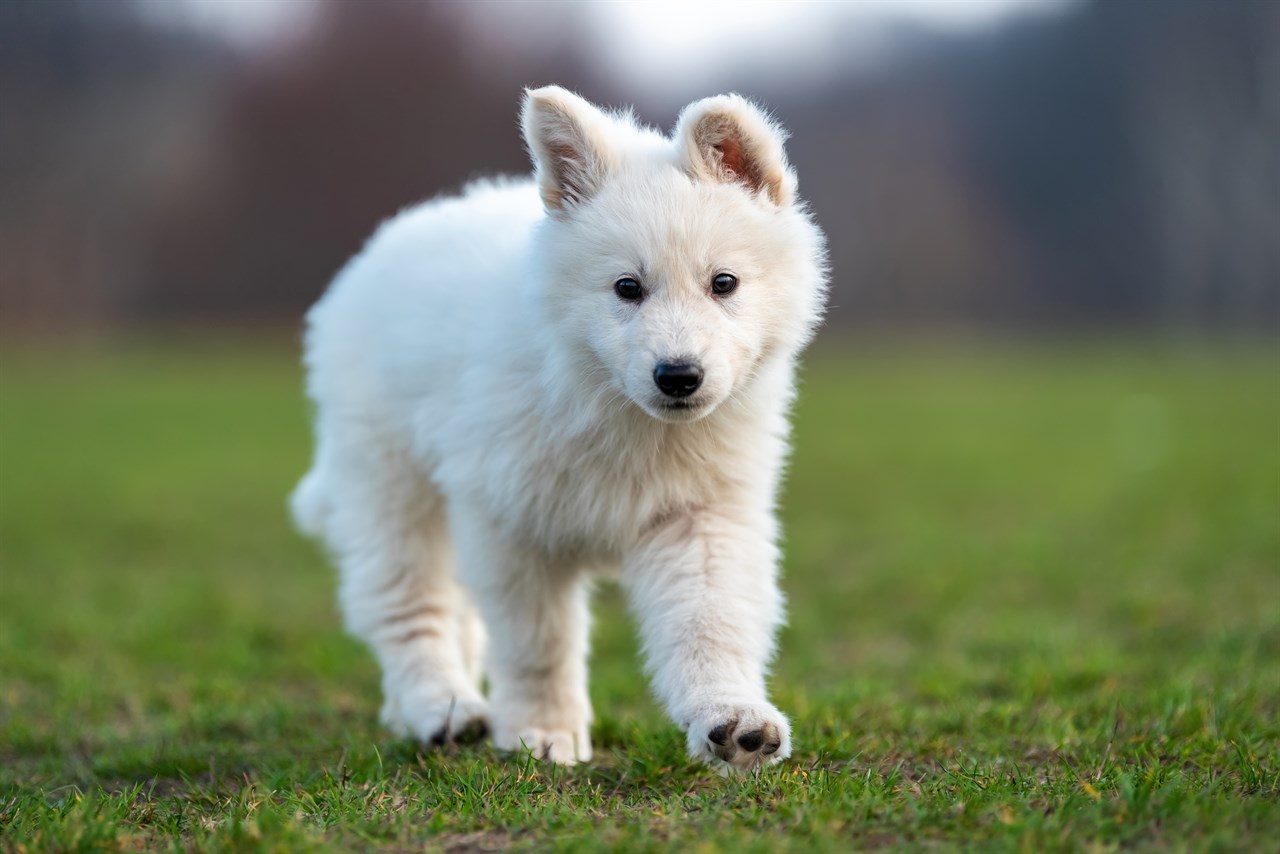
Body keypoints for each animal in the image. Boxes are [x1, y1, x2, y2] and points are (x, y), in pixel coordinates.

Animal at [290, 87, 829, 773]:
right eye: (627, 288)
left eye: (724, 283)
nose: (678, 376)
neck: (620, 414)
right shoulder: (512, 524)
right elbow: (536, 644)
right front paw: (542, 733)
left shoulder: (700, 517)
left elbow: (709, 623)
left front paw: (732, 719)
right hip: (389, 485)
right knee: (410, 606)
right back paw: (441, 708)